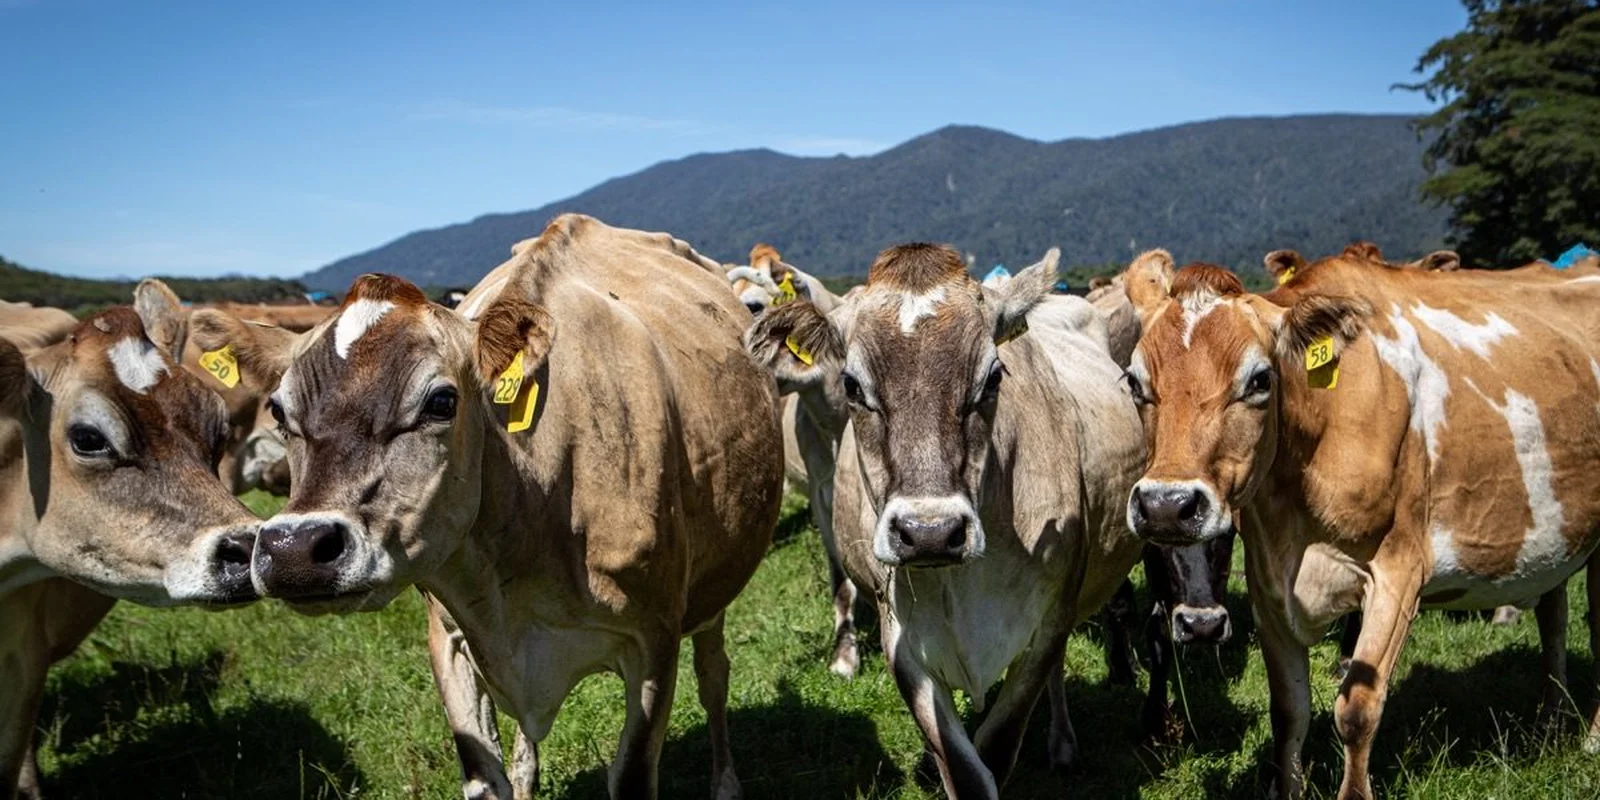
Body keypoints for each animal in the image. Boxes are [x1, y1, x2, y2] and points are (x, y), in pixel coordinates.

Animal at [192, 214, 783, 800]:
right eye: (278, 410)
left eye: (440, 401)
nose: (295, 549)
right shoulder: (449, 640)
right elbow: (484, 776)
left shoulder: (654, 641)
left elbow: (635, 772)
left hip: (713, 590)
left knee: (714, 673)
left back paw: (726, 781)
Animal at [744, 243, 1144, 797]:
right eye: (852, 384)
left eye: (994, 376)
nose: (929, 534)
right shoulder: (902, 643)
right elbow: (964, 768)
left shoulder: (1049, 620)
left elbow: (1001, 742)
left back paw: (1063, 744)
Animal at [1121, 252, 1600, 799]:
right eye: (1133, 381)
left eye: (1260, 380)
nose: (1166, 505)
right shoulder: (1267, 584)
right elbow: (1288, 711)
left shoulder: (1398, 572)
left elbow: (1357, 709)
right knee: (1554, 619)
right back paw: (1550, 724)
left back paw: (1590, 739)